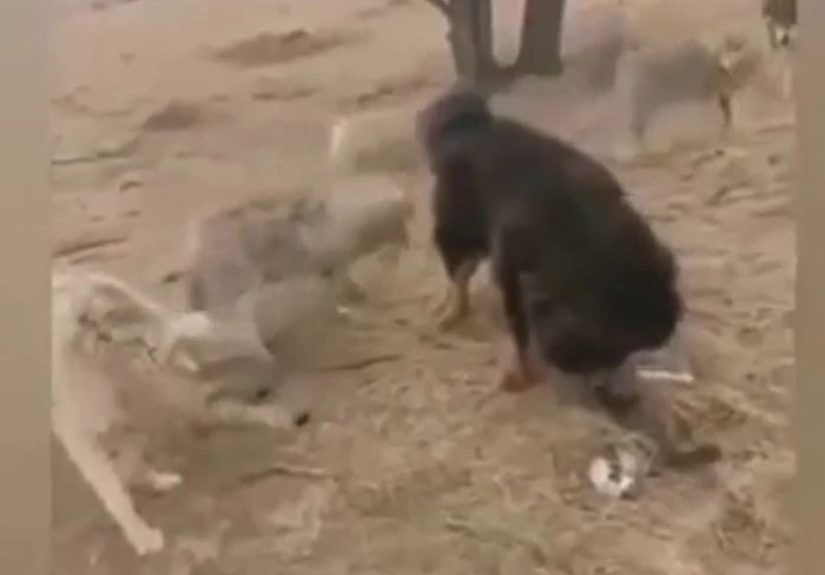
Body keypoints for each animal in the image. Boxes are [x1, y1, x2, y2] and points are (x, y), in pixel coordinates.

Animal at [52, 266, 310, 556]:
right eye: (86, 323)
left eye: (105, 319)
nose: (94, 330)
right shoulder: (82, 434)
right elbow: (113, 488)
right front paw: (141, 536)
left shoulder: (126, 412)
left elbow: (129, 461)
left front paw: (146, 481)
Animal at [416, 89, 683, 409]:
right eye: (599, 353)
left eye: (624, 351)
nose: (602, 383)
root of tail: (466, 126)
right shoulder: (511, 274)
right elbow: (521, 333)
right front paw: (523, 375)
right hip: (459, 233)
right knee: (459, 275)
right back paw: (451, 314)